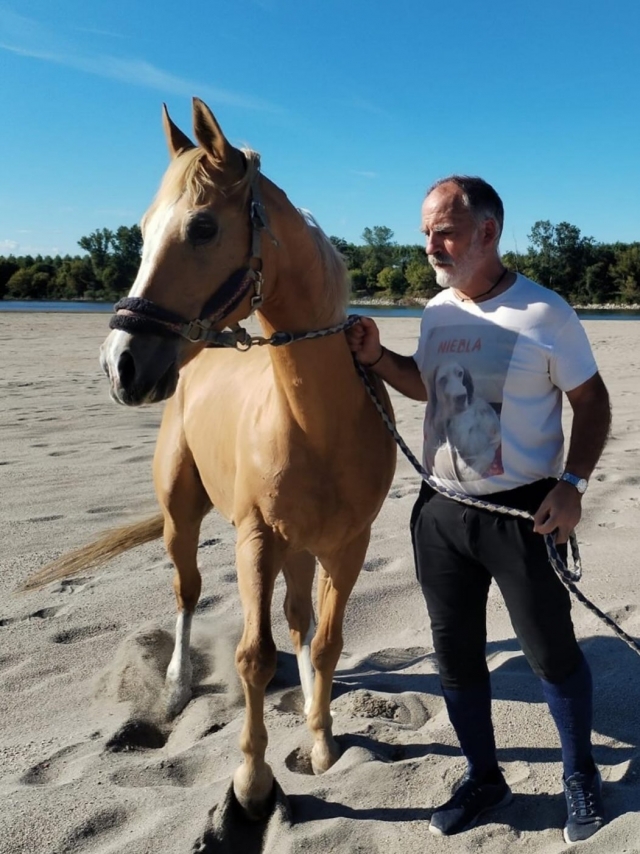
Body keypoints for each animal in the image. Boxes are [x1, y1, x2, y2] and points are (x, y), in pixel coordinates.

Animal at [23, 97, 396, 819]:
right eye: (141, 231)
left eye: (202, 226)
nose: (120, 364)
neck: (319, 420)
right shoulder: (254, 538)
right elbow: (253, 656)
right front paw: (251, 783)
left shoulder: (348, 545)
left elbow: (327, 642)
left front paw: (322, 740)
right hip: (183, 517)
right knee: (189, 592)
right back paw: (175, 687)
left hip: (298, 547)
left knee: (299, 620)